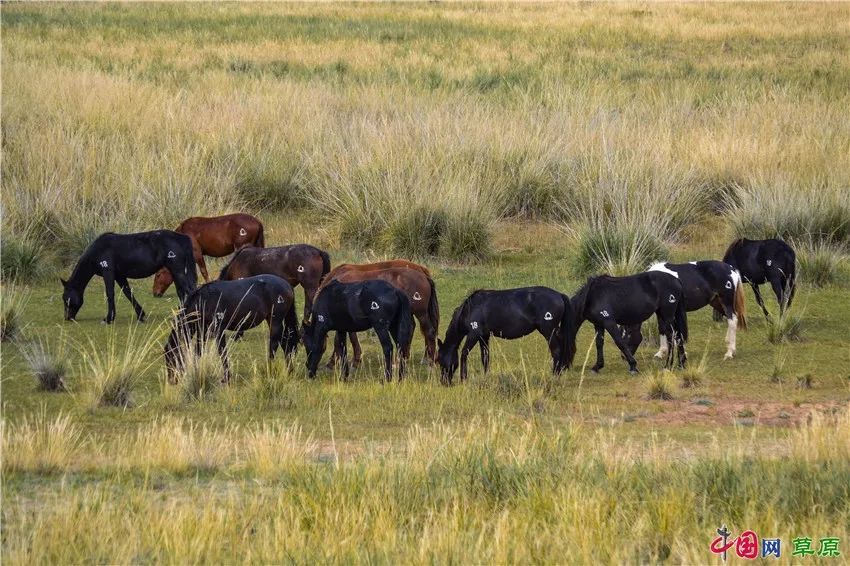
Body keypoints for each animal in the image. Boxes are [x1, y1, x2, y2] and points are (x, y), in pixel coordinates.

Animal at [61, 230, 197, 324]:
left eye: (65, 298)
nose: (67, 318)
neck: (98, 249)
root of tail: (182, 238)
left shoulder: (108, 272)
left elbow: (110, 294)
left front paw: (108, 318)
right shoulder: (119, 276)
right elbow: (128, 293)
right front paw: (140, 315)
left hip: (178, 271)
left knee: (188, 291)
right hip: (176, 272)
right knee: (182, 292)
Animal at [163, 276, 298, 386]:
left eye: (171, 357)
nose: (171, 381)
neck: (203, 300)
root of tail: (287, 284)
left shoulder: (219, 330)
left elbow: (222, 352)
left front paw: (226, 378)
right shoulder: (203, 331)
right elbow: (199, 351)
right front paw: (197, 371)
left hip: (275, 321)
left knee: (274, 345)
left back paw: (270, 369)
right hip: (272, 321)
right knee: (285, 343)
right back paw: (289, 371)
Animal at [434, 288, 572, 386]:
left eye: (440, 360)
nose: (444, 382)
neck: (470, 309)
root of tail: (559, 295)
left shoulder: (474, 334)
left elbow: (464, 353)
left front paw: (464, 379)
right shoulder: (484, 337)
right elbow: (485, 357)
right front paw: (486, 377)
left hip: (549, 331)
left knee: (556, 351)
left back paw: (554, 376)